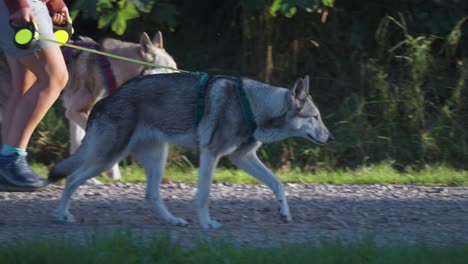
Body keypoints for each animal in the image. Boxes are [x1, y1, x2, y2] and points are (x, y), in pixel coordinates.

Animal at [48, 73, 332, 230]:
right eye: (315, 117)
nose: (330, 137)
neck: (252, 106)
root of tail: (105, 100)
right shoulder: (211, 154)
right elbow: (204, 195)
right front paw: (207, 224)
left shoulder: (242, 157)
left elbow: (278, 184)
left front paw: (285, 213)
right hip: (107, 159)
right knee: (72, 179)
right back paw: (62, 215)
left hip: (154, 158)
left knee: (151, 196)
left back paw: (174, 221)